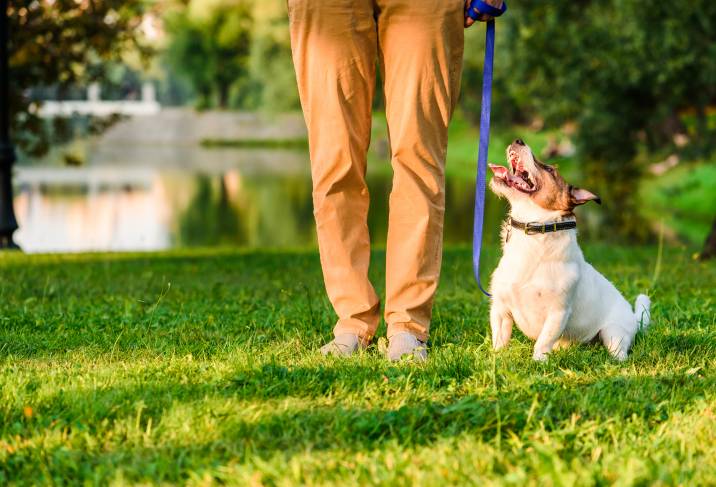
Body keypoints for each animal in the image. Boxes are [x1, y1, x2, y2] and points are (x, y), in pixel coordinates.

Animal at [486, 139, 648, 360]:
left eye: (549, 170)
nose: (518, 140)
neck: (535, 232)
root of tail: (633, 317)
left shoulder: (558, 312)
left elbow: (543, 342)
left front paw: (538, 361)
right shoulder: (500, 308)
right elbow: (500, 340)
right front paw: (497, 359)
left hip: (613, 333)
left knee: (620, 353)